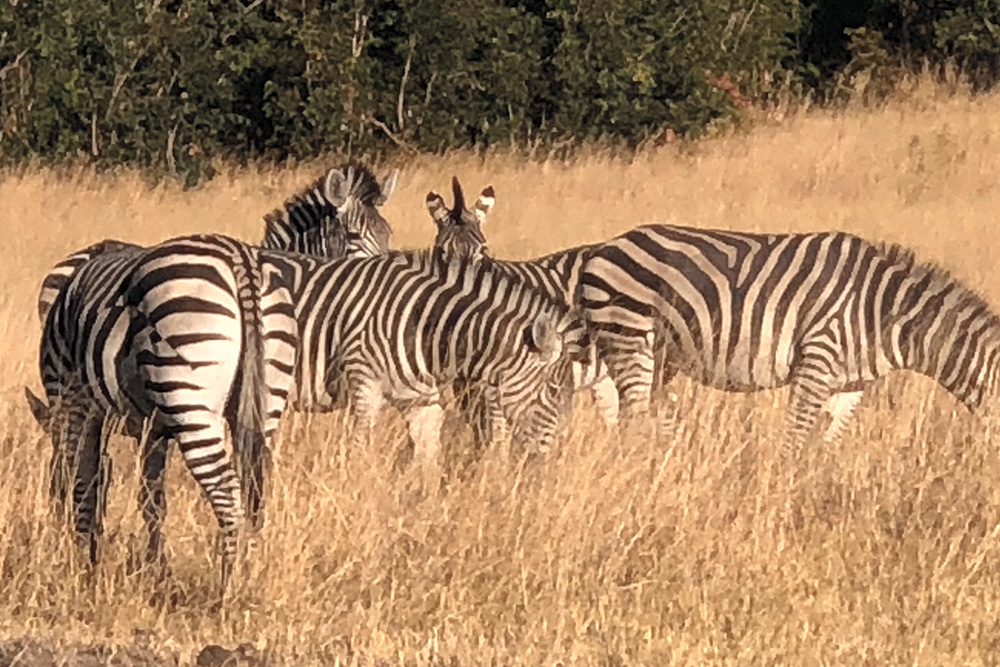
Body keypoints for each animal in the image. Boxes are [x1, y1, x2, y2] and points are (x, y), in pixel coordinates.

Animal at [576, 224, 1000, 460]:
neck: (883, 313)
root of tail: (603, 249)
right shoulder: (818, 358)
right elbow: (794, 440)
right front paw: (786, 495)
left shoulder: (850, 384)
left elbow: (827, 441)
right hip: (629, 337)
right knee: (633, 421)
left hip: (663, 359)